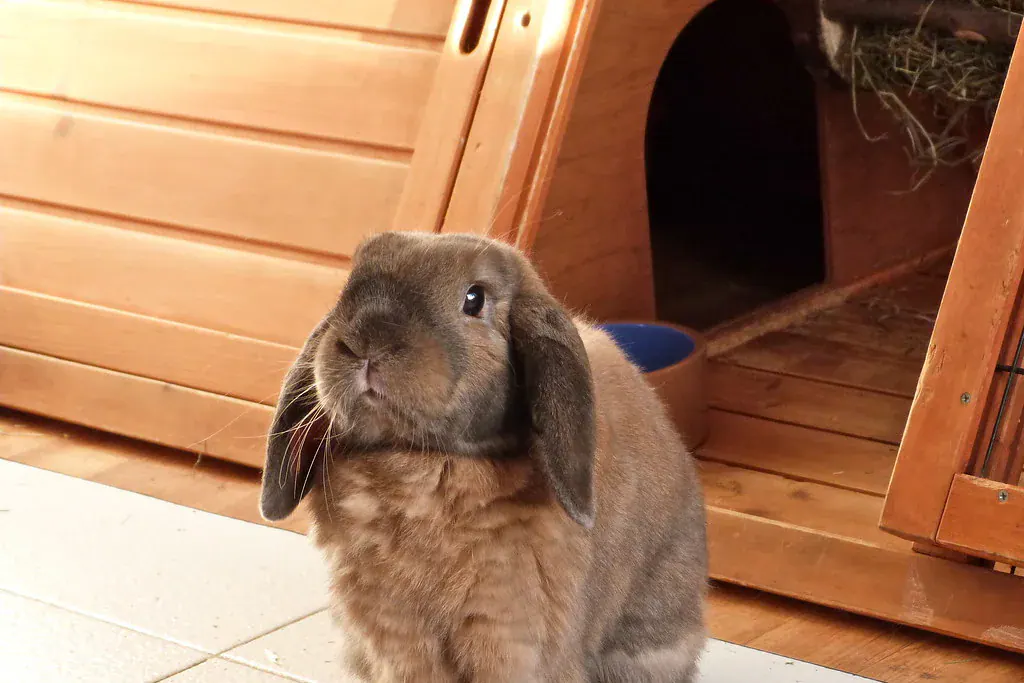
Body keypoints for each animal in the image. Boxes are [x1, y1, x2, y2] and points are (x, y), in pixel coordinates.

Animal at [259, 232, 707, 683]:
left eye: (474, 299)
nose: (365, 343)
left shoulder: (509, 634)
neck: (423, 462)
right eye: (349, 284)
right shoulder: (394, 637)